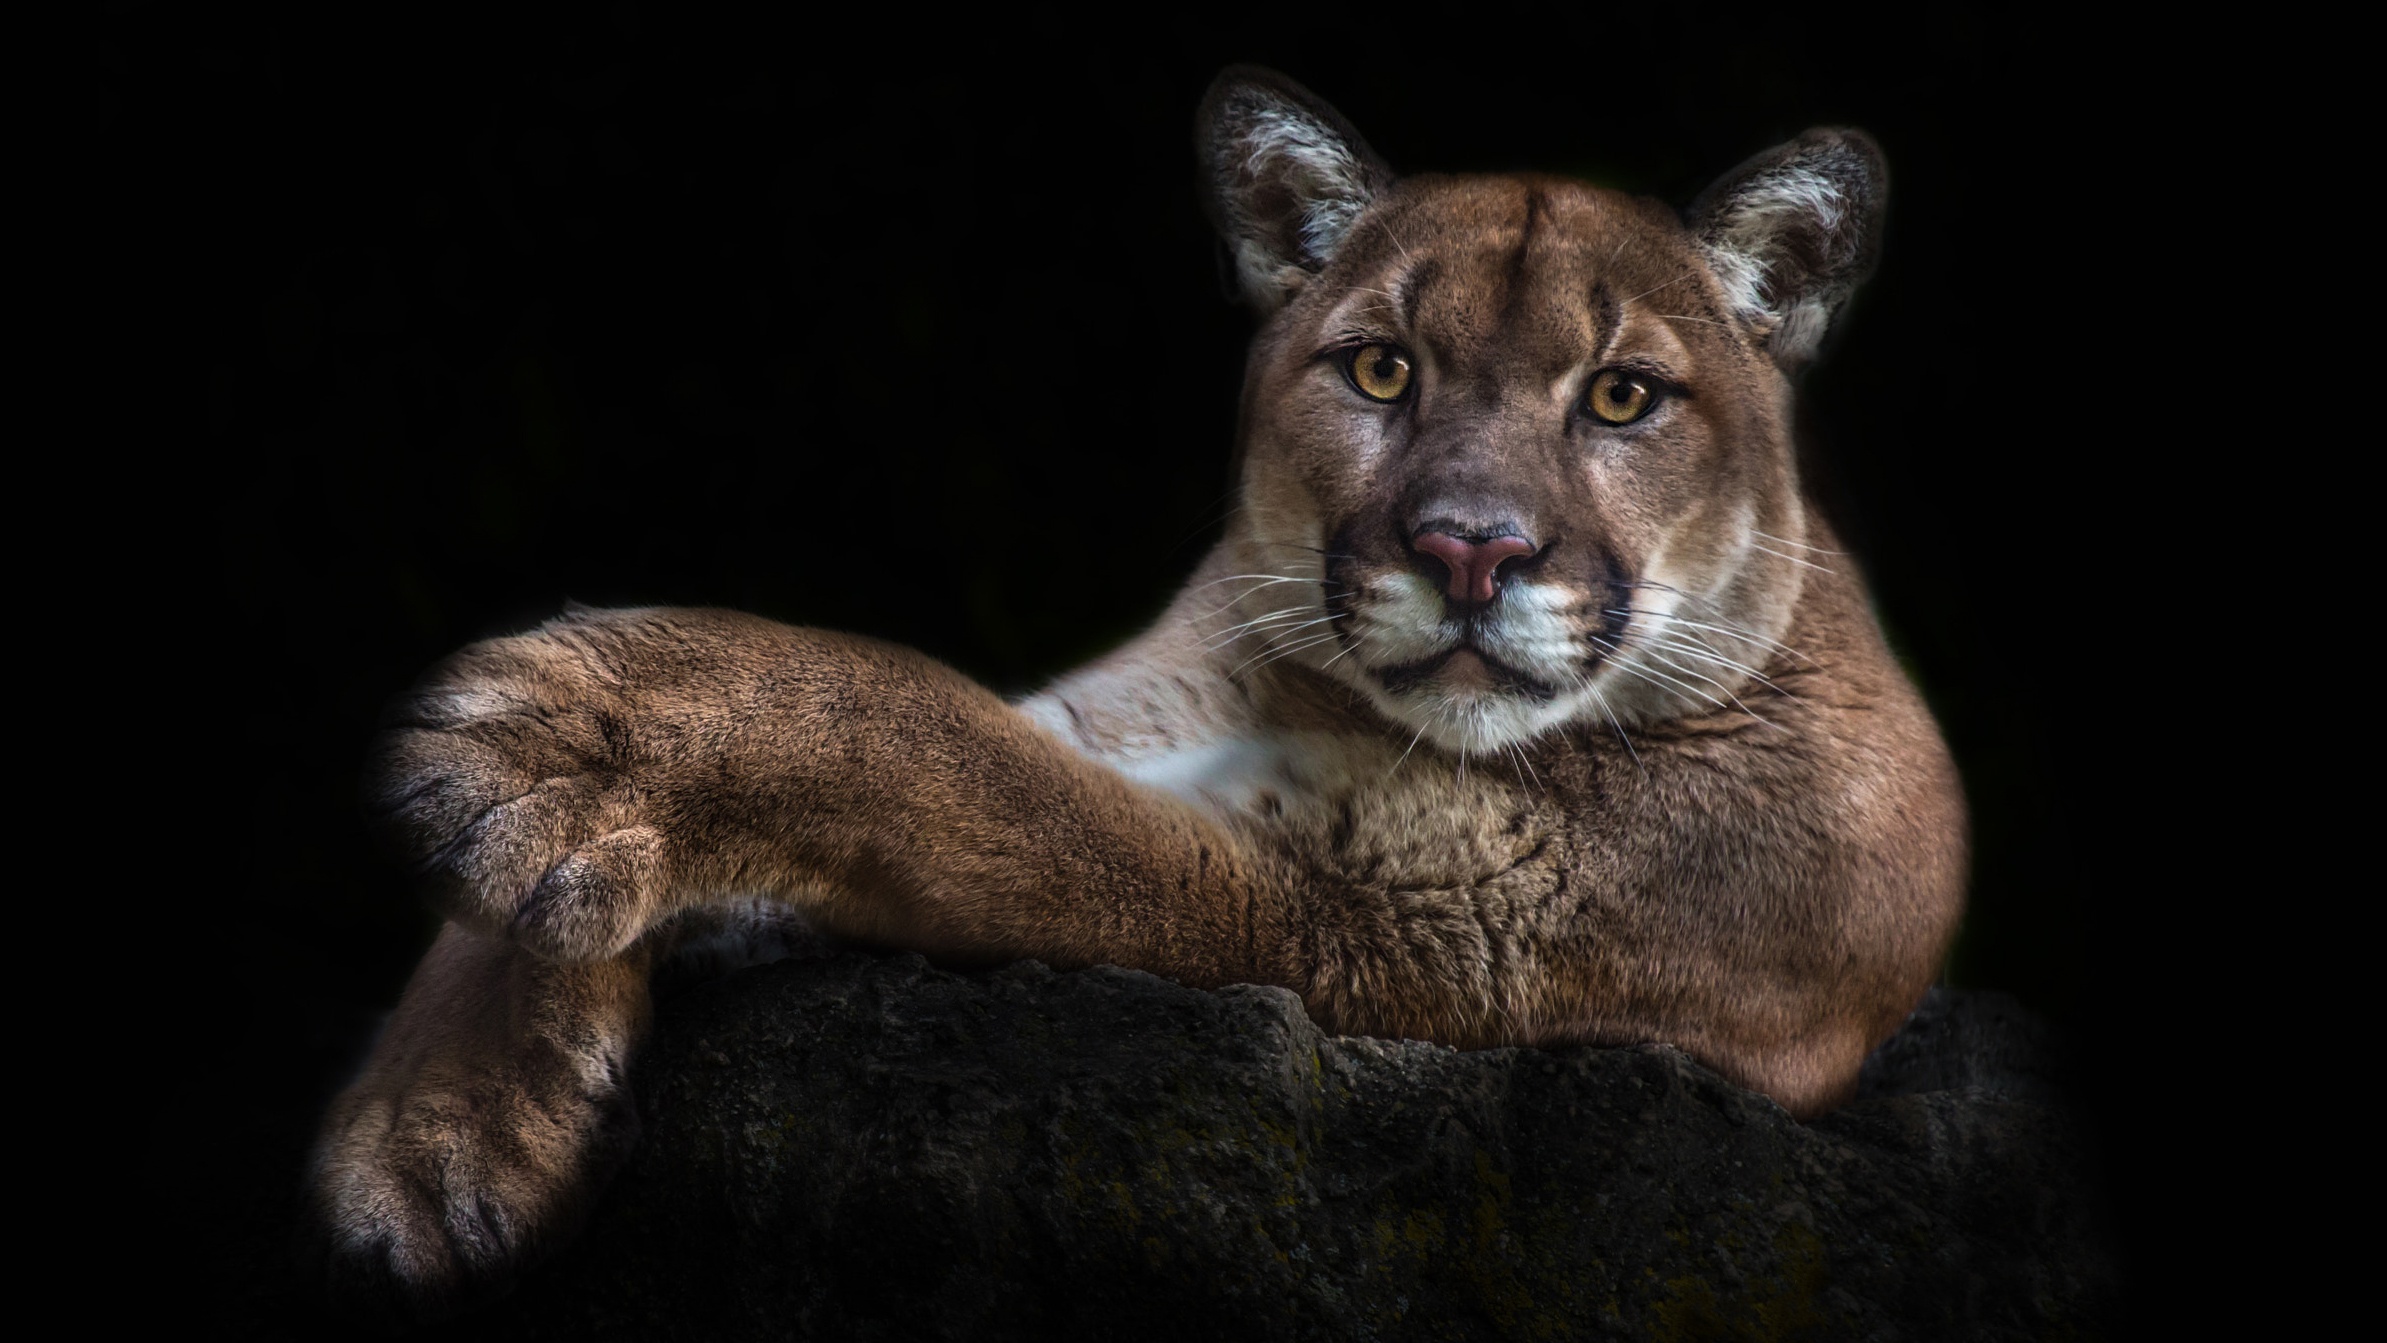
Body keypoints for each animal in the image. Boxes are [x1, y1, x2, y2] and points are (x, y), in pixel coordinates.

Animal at [312, 68, 1957, 1316]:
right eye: (1378, 370)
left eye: (1621, 396)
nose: (1468, 547)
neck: (1316, 696)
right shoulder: (1121, 727)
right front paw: (435, 1123)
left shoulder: (1359, 916)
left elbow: (932, 746)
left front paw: (558, 746)